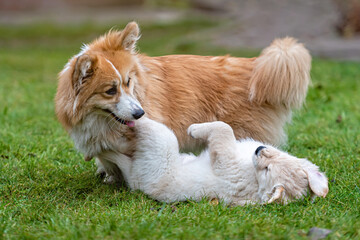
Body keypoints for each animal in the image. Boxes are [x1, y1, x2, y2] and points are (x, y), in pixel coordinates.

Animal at [100, 118, 326, 204]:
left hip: (162, 144)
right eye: (275, 159)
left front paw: (194, 129)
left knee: (143, 129)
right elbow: (226, 127)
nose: (259, 149)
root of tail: (136, 182)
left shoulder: (225, 160)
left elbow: (224, 128)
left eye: (267, 170)